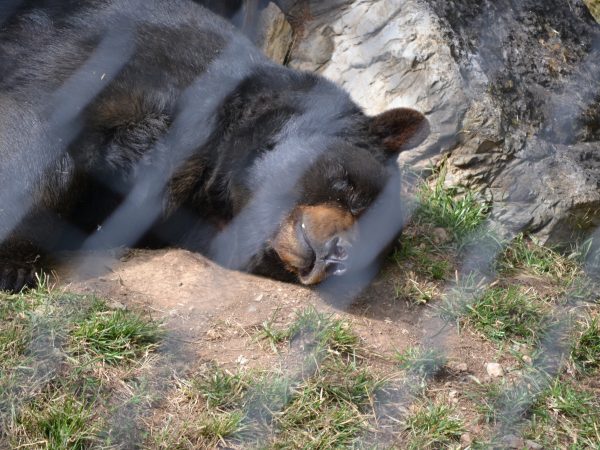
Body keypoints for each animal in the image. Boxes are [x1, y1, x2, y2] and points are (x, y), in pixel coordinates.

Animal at [1, 0, 432, 292]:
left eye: (373, 251)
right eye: (351, 191)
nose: (340, 255)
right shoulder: (125, 52)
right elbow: (38, 126)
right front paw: (14, 263)